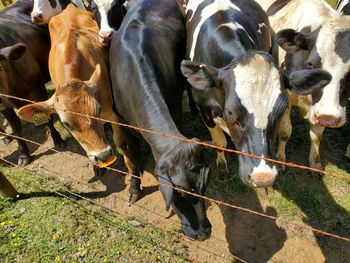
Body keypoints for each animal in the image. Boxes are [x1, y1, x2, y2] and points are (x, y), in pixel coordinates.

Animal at [0, 0, 63, 167]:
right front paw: (23, 154)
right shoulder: (4, 104)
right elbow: (16, 128)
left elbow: (46, 116)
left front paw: (58, 139)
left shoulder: (37, 87)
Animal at [17, 3, 144, 196]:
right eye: (66, 124)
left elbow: (120, 141)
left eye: (98, 110)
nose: (103, 155)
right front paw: (97, 166)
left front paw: (134, 177)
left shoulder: (112, 113)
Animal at [110, 0, 211, 241]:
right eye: (180, 193)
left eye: (204, 188)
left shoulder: (174, 106)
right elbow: (133, 159)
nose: (203, 234)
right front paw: (134, 189)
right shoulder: (123, 124)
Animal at [180, 0, 330, 188]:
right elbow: (219, 142)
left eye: (281, 111)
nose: (263, 177)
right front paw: (222, 165)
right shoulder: (204, 107)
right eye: (230, 112)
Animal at [256, 0, 350, 170]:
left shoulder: (319, 109)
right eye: (311, 64)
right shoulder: (285, 97)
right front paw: (281, 159)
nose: (329, 118)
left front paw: (315, 163)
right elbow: (285, 131)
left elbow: (316, 135)